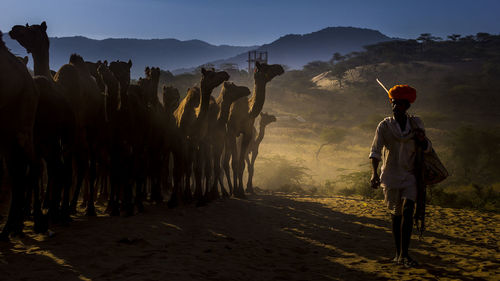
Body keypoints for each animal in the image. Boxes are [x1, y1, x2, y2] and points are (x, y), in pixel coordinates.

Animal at [225, 61, 284, 197]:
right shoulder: (232, 132)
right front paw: (237, 192)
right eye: (266, 67)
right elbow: (235, 163)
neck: (247, 111)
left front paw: (241, 191)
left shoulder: (247, 134)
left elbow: (242, 165)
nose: (280, 67)